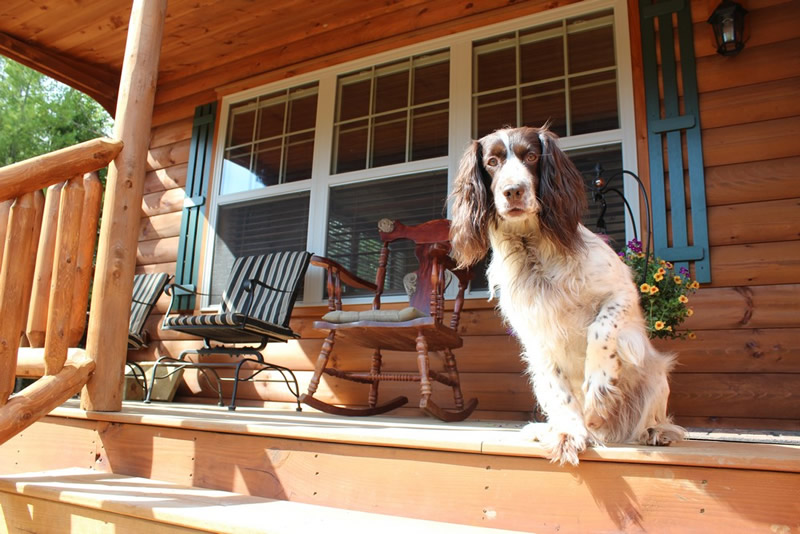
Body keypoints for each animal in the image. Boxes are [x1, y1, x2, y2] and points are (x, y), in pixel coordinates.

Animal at [446, 125, 684, 464]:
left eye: (532, 156)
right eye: (492, 161)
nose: (513, 191)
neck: (532, 250)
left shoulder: (622, 294)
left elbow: (600, 329)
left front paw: (599, 388)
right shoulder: (537, 336)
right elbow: (562, 394)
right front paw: (569, 434)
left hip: (655, 374)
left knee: (651, 421)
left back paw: (655, 431)